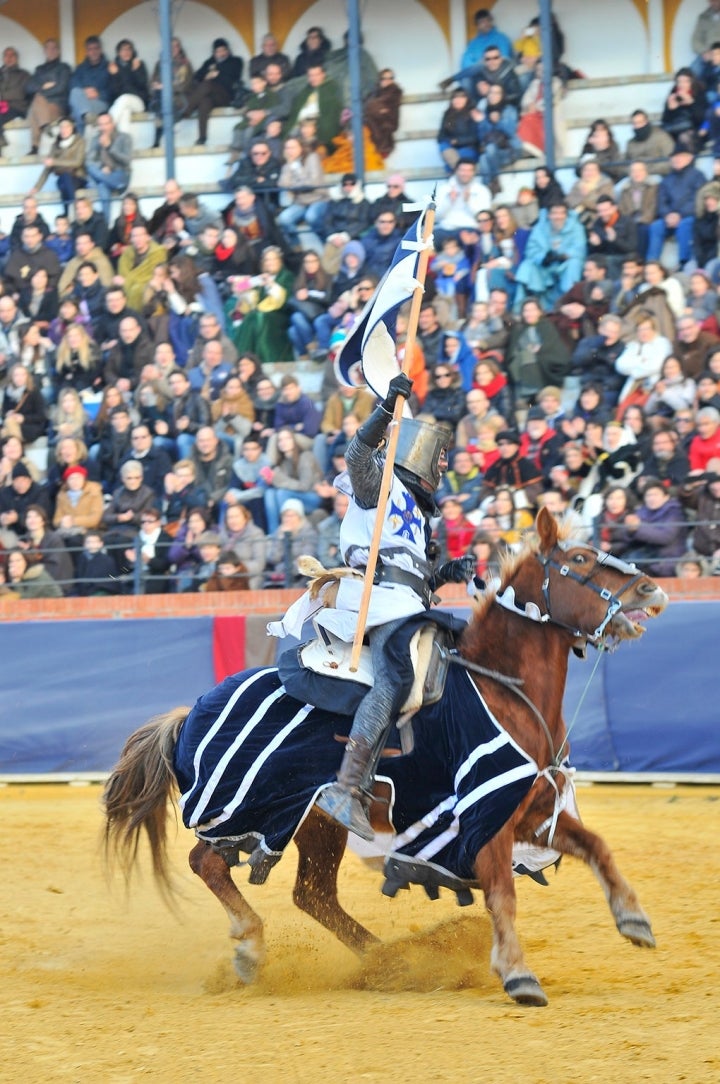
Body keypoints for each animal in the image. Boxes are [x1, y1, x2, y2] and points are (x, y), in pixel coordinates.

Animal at [102, 509, 667, 1005]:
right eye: (580, 558)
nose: (650, 589)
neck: (504, 688)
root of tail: (189, 713)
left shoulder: (531, 811)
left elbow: (597, 847)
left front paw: (634, 919)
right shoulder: (485, 821)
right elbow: (503, 892)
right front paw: (517, 973)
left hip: (315, 824)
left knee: (313, 895)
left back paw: (389, 959)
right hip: (253, 813)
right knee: (207, 862)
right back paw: (253, 945)